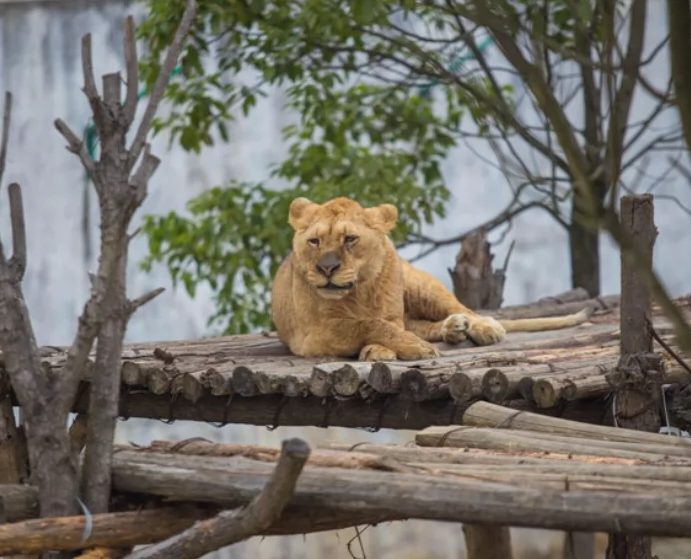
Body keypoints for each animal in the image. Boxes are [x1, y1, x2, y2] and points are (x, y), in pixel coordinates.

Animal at [270, 198, 588, 364]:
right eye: (314, 241)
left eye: (350, 239)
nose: (326, 268)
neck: (358, 291)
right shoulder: (314, 334)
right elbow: (371, 324)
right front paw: (399, 348)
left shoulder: (387, 315)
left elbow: (380, 324)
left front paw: (384, 348)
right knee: (423, 325)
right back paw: (453, 329)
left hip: (420, 286)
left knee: (462, 309)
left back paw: (481, 327)